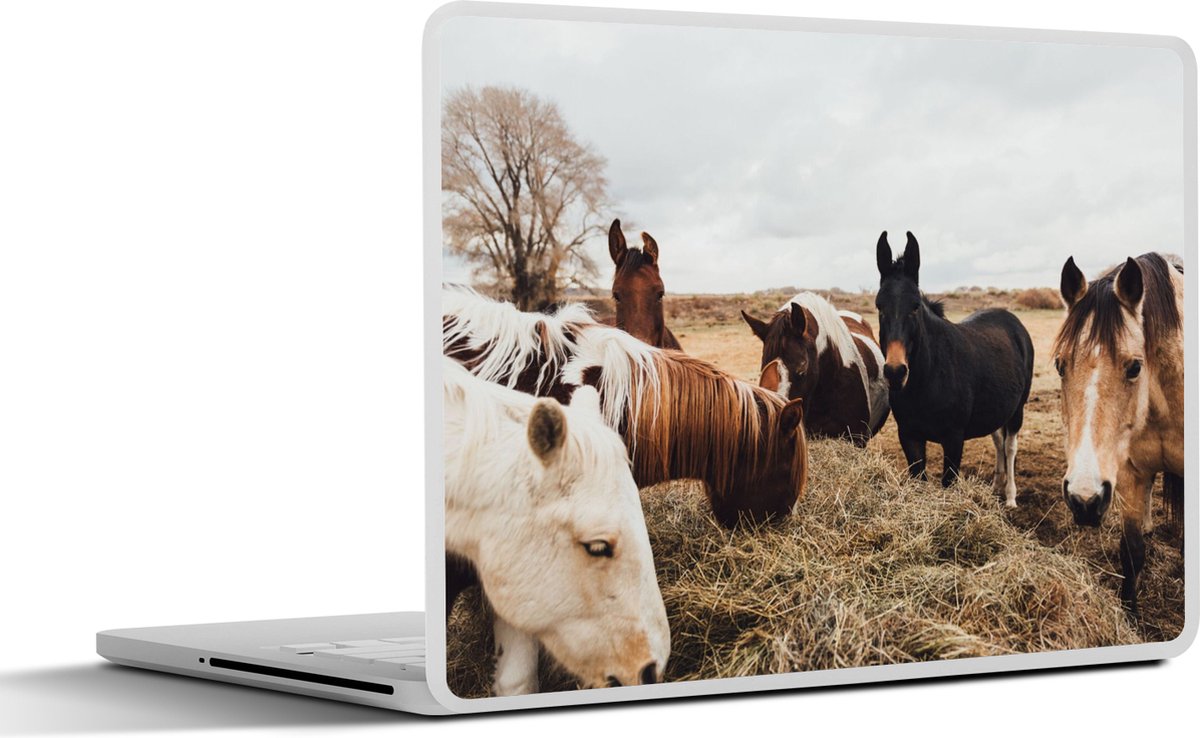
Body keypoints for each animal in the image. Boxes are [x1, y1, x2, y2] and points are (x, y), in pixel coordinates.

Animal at [874, 231, 1034, 504]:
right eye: (879, 307)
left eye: (915, 306)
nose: (895, 372)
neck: (928, 379)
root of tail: (1014, 322)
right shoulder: (909, 436)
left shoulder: (954, 439)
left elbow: (948, 482)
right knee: (998, 442)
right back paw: (995, 486)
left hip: (1018, 410)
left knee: (1010, 446)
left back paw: (1011, 496)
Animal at [1054, 253, 1184, 613]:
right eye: (1059, 365)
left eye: (1135, 366)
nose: (1084, 500)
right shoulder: (1128, 473)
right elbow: (1131, 551)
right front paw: (1130, 613)